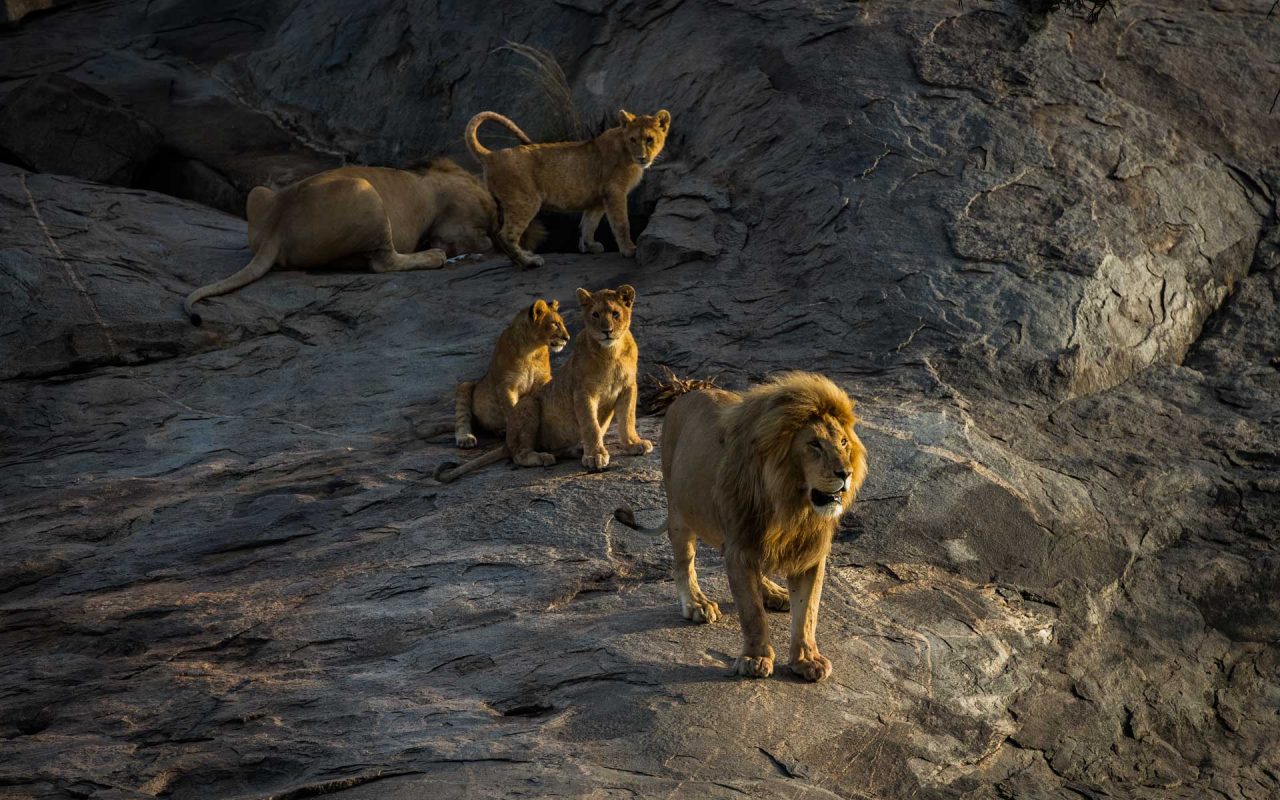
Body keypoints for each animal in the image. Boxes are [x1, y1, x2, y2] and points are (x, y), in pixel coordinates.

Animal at [180, 157, 529, 322]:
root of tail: (277, 227)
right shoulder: (458, 225)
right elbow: (480, 242)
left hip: (259, 192)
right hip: (365, 194)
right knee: (384, 263)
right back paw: (434, 258)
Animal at [619, 373, 870, 680]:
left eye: (844, 442)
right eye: (814, 444)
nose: (845, 473)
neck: (792, 504)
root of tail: (685, 395)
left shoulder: (809, 551)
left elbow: (808, 611)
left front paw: (807, 659)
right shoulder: (740, 547)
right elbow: (751, 612)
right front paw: (755, 658)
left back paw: (774, 593)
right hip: (680, 510)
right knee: (683, 562)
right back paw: (697, 603)